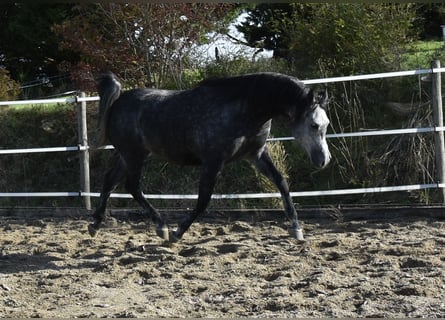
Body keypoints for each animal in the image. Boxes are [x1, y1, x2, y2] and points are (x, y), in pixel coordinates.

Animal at [89, 72, 330, 242]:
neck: (244, 109)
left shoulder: (256, 155)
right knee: (132, 186)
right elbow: (203, 200)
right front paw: (177, 232)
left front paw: (296, 229)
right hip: (134, 155)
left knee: (110, 181)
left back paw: (95, 224)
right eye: (313, 124)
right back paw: (162, 226)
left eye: (326, 124)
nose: (324, 160)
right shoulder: (213, 162)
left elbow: (282, 183)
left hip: (128, 155)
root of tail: (118, 101)